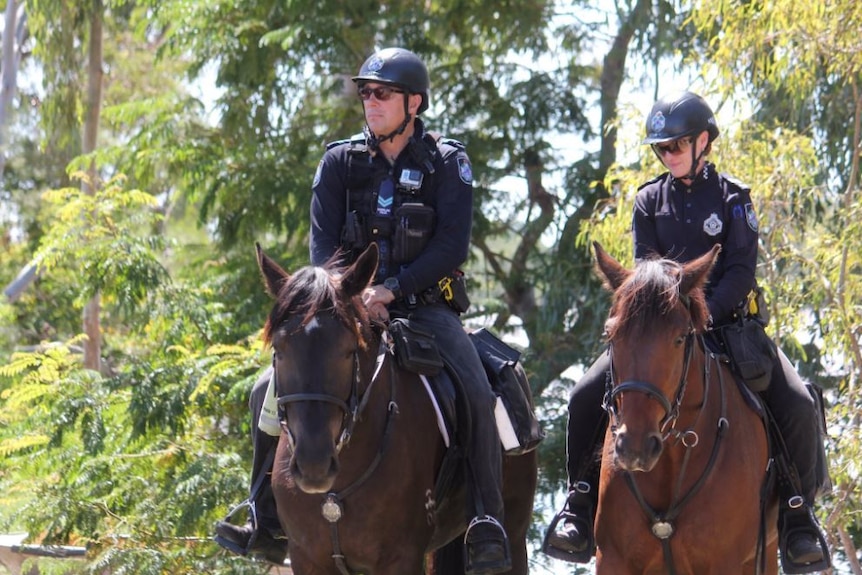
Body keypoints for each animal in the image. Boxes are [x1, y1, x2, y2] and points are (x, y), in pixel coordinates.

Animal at [255, 244, 540, 575]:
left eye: (349, 350)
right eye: (279, 350)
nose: (314, 465)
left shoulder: (401, 557)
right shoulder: (307, 559)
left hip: (514, 532)